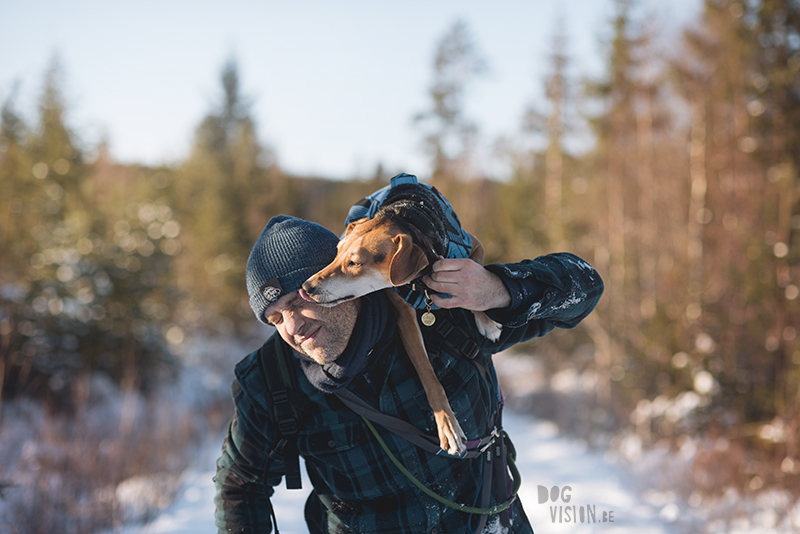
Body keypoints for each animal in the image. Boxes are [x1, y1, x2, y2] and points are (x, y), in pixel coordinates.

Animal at [302, 214, 500, 456]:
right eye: (337, 252)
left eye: (356, 263)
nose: (306, 287)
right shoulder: (404, 314)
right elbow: (428, 376)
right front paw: (448, 427)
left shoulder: (473, 246)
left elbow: (475, 286)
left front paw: (486, 322)